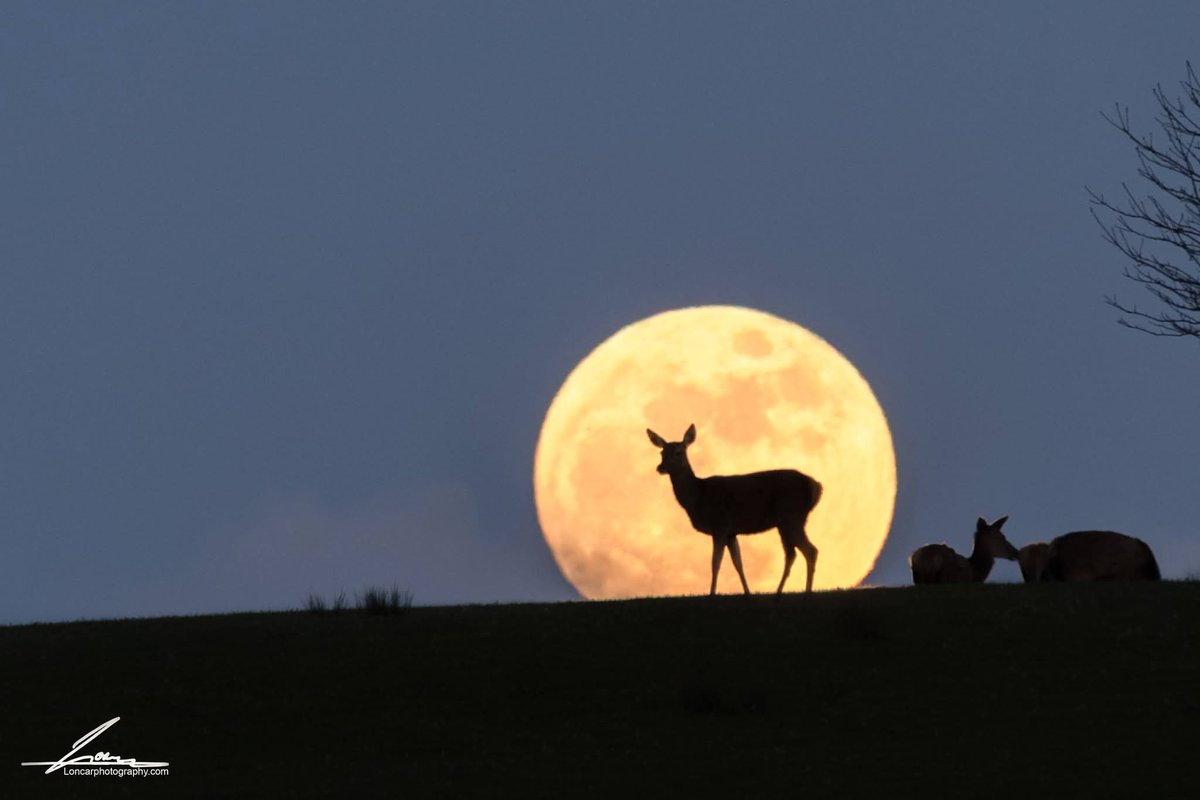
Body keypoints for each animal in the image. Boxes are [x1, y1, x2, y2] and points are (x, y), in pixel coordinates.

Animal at [646, 424, 822, 595]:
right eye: (662, 452)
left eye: (679, 452)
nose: (660, 467)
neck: (697, 497)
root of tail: (816, 486)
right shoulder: (731, 533)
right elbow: (738, 563)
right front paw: (747, 592)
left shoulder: (720, 526)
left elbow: (715, 563)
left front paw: (712, 593)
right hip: (786, 523)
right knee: (791, 554)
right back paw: (778, 591)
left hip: (792, 517)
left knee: (810, 550)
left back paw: (806, 591)